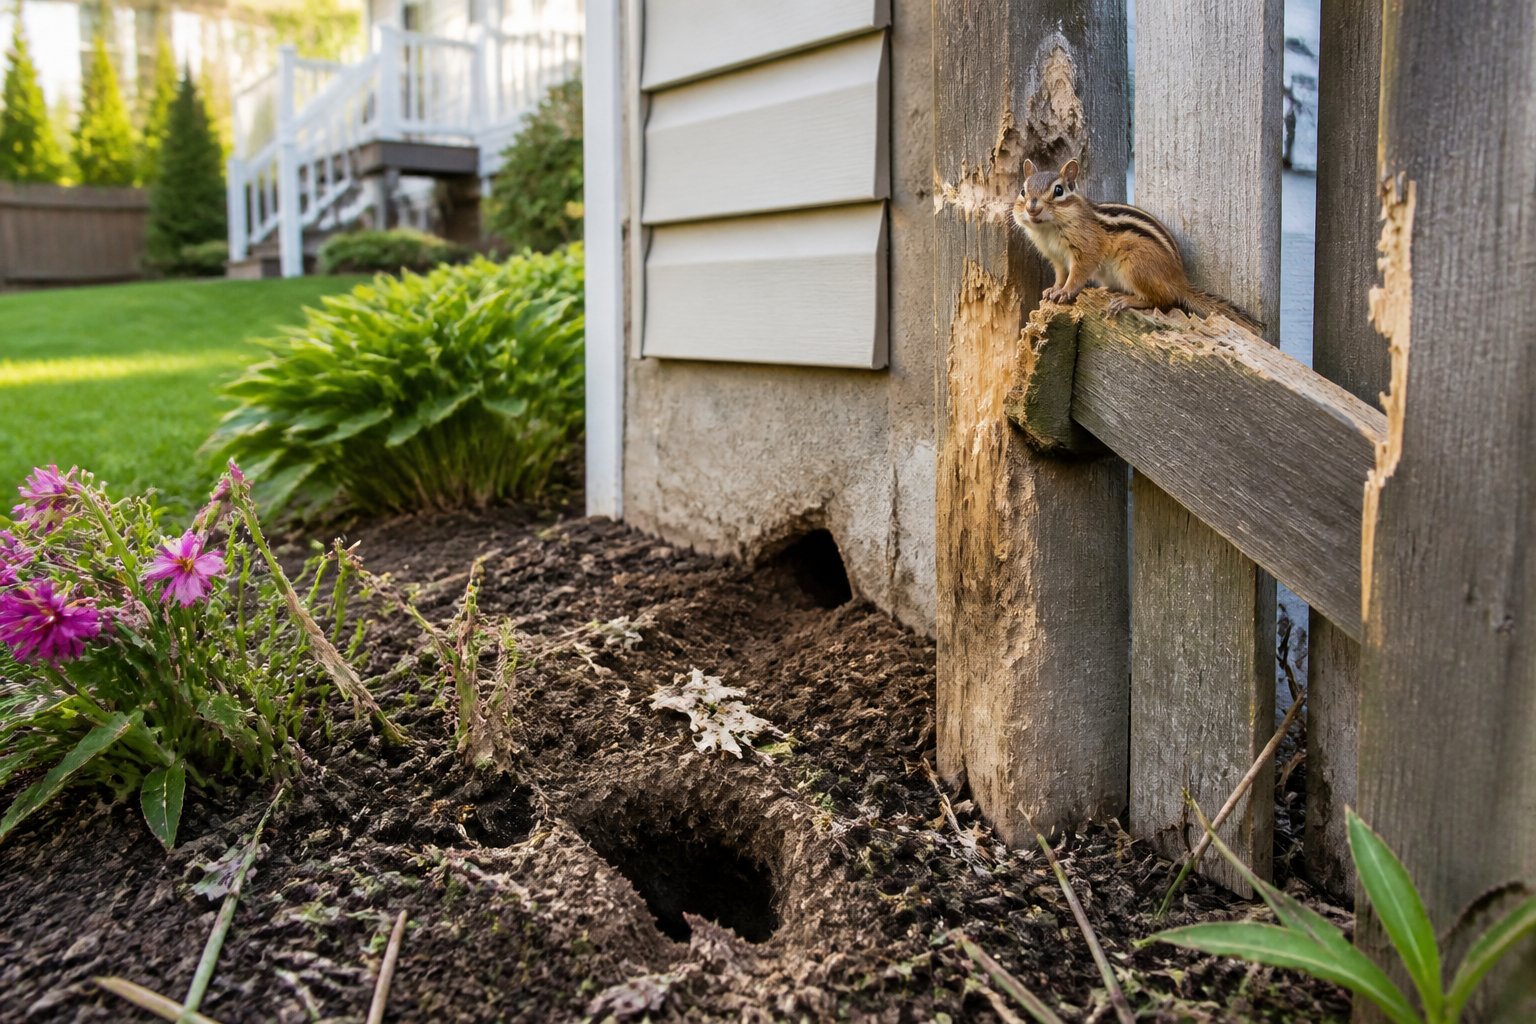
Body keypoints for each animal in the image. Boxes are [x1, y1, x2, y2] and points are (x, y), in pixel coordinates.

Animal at [1011, 158, 1262, 333]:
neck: (1048, 230)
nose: (1032, 208)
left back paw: (1126, 300)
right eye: (1023, 191)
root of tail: (1179, 281)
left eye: (1059, 190)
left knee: (1163, 300)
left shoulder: (1086, 251)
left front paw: (1065, 292)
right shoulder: (1057, 258)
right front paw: (1053, 290)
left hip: (1135, 265)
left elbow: (1077, 275)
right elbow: (1061, 275)